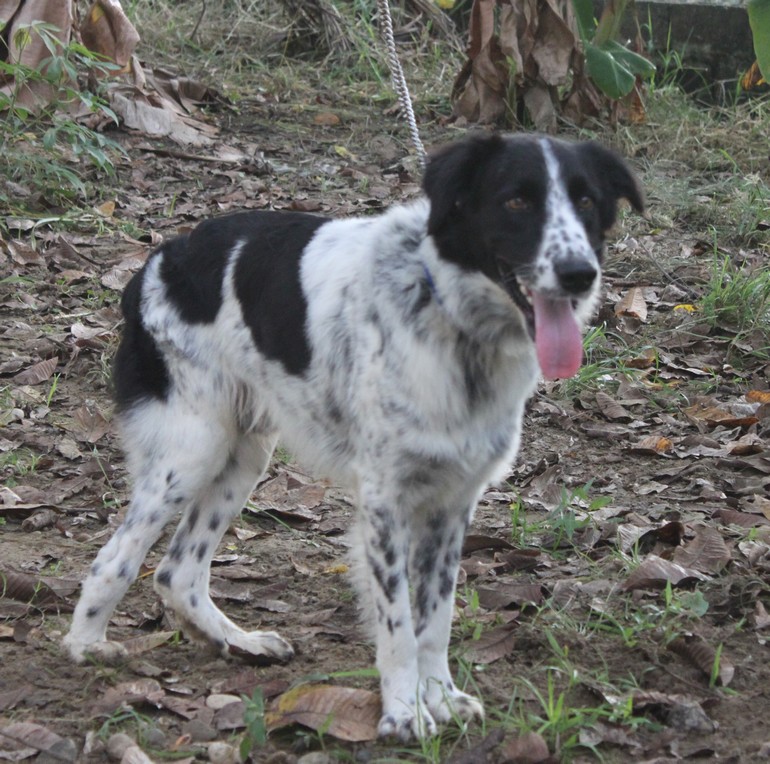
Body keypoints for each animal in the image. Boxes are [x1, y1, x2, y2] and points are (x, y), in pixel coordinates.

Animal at [64, 131, 640, 740]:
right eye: (516, 201)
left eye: (586, 201)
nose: (580, 274)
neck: (453, 319)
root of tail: (160, 258)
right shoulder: (385, 500)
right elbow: (399, 623)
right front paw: (404, 712)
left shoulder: (453, 500)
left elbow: (435, 618)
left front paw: (440, 697)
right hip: (195, 447)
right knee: (116, 557)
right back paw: (86, 645)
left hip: (243, 454)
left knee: (178, 571)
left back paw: (236, 641)